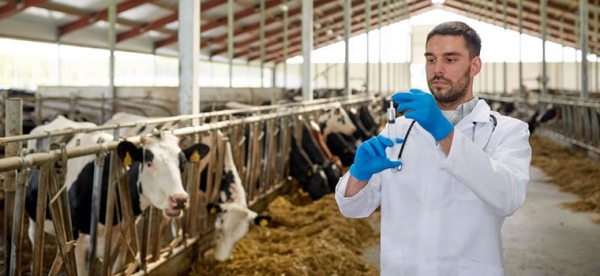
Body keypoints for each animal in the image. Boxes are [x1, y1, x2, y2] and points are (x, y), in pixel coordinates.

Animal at [24, 130, 209, 274]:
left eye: (182, 163)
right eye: (149, 162)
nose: (180, 199)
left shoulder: (121, 238)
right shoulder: (77, 242)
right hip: (34, 221)